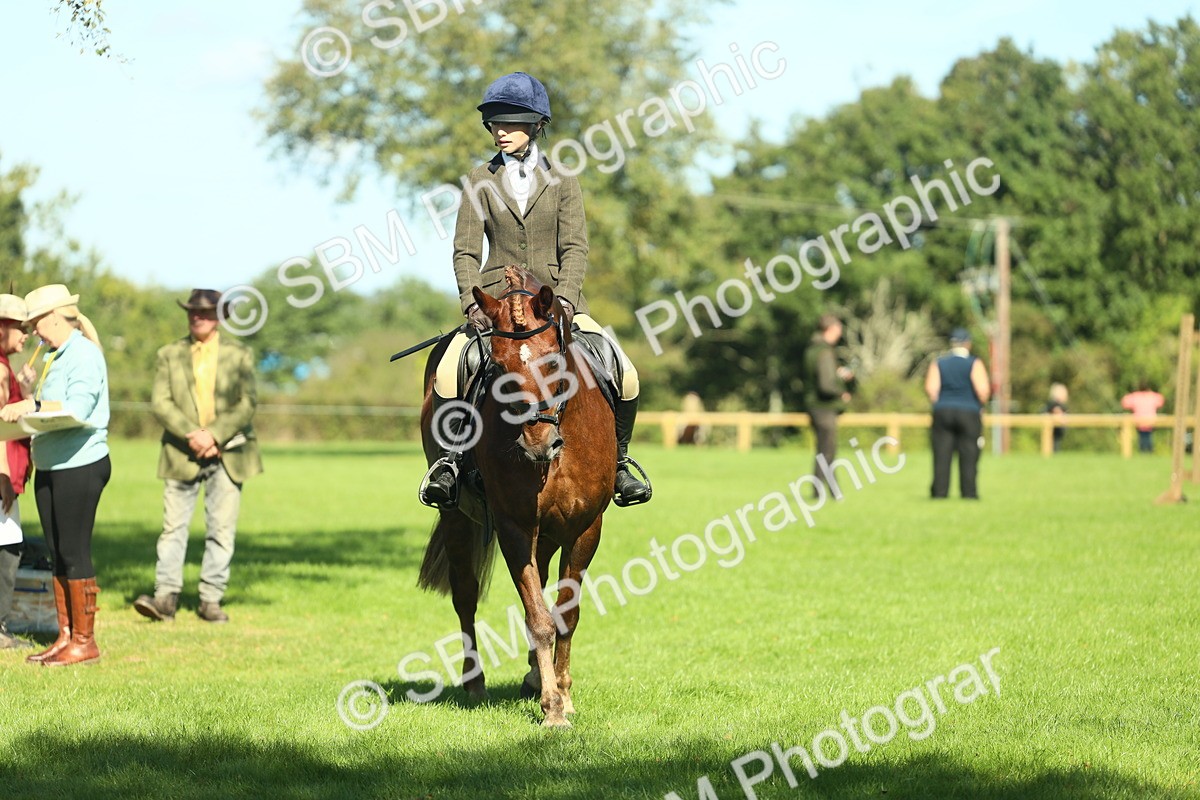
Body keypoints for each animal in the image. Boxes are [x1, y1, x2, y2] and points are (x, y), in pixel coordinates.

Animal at [417, 265, 616, 727]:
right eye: (500, 368)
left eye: (553, 361)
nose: (537, 443)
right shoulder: (514, 526)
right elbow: (538, 617)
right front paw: (553, 708)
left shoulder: (586, 527)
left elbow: (566, 613)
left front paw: (562, 693)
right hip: (458, 518)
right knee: (466, 595)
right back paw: (475, 683)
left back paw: (533, 677)